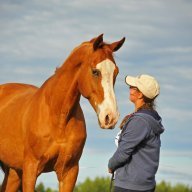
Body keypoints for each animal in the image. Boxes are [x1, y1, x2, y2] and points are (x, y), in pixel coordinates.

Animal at [0, 34, 125, 192]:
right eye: (95, 71)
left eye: (116, 72)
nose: (110, 117)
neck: (58, 116)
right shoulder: (30, 169)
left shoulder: (69, 171)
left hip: (13, 171)